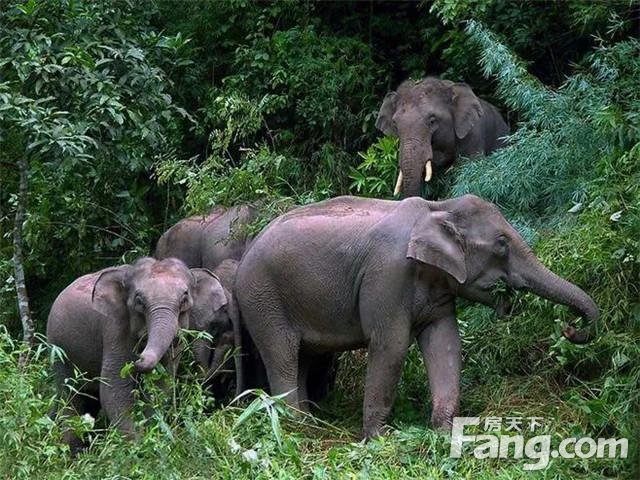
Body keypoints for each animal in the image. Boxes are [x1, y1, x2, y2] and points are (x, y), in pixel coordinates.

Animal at [47, 256, 238, 448]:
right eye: (139, 300)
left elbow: (161, 386)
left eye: (185, 296)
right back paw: (74, 449)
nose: (138, 359)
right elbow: (114, 388)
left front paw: (152, 438)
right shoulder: (115, 327)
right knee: (71, 395)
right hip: (59, 350)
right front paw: (138, 446)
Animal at [236, 194, 600, 438]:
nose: (569, 329)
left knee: (303, 358)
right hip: (264, 299)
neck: (439, 206)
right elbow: (391, 345)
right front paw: (379, 440)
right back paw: (294, 428)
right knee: (282, 355)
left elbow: (446, 343)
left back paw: (309, 423)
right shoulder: (387, 275)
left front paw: (442, 433)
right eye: (501, 245)